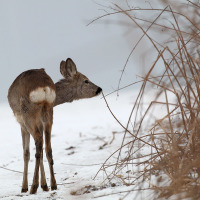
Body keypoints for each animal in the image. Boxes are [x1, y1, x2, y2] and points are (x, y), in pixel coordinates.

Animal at [7, 57, 101, 194]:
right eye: (86, 80)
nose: (99, 89)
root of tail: (44, 87)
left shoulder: (21, 123)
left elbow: (26, 153)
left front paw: (25, 187)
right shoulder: (39, 123)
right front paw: (44, 184)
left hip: (28, 114)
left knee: (38, 144)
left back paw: (33, 187)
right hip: (49, 113)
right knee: (47, 148)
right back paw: (52, 185)